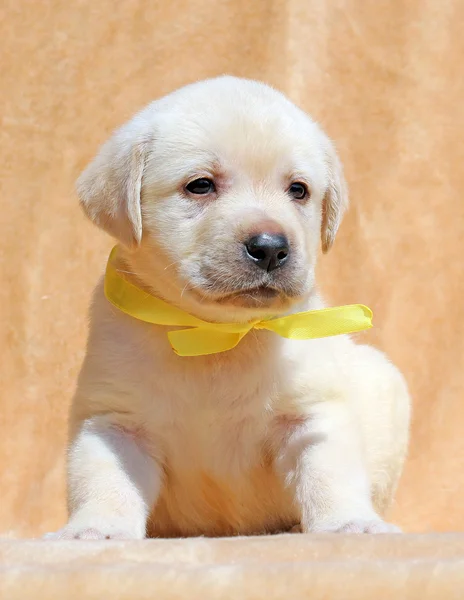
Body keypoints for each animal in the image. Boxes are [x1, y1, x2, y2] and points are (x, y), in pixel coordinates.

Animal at [49, 75, 410, 540]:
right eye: (201, 185)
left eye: (298, 190)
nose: (271, 247)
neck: (215, 336)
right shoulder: (116, 421)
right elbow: (105, 481)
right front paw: (96, 529)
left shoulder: (312, 414)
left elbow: (331, 475)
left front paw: (351, 522)